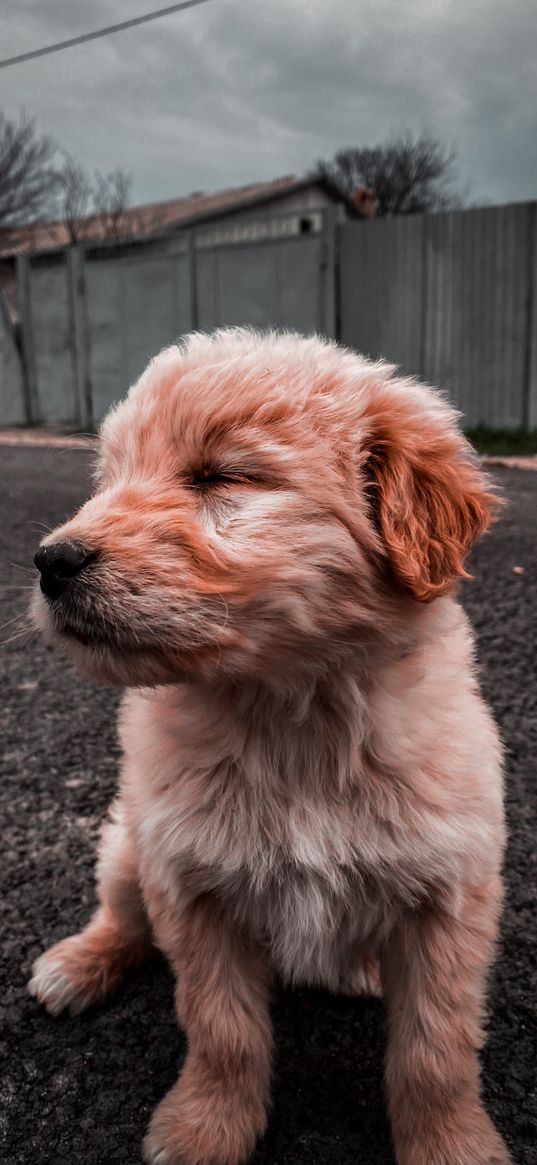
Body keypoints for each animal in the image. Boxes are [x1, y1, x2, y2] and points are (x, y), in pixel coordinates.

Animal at [27, 330, 507, 1165]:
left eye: (220, 476)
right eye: (109, 480)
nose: (51, 561)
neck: (291, 714)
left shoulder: (451, 895)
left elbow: (435, 1050)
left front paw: (450, 1143)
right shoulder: (190, 885)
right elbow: (222, 1029)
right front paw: (205, 1129)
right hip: (127, 843)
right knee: (122, 915)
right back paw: (76, 966)